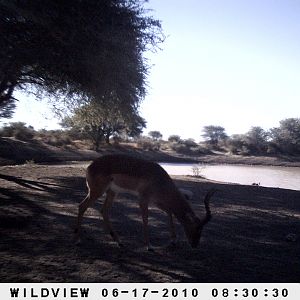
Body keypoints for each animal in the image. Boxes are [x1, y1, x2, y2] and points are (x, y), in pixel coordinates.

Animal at [75, 154, 216, 250]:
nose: (195, 244)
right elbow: (146, 219)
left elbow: (169, 212)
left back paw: (119, 241)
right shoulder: (143, 199)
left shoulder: (156, 201)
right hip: (97, 191)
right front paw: (149, 246)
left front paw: (173, 240)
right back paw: (79, 239)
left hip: (112, 192)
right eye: (196, 227)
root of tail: (90, 166)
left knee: (104, 211)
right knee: (82, 206)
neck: (159, 179)